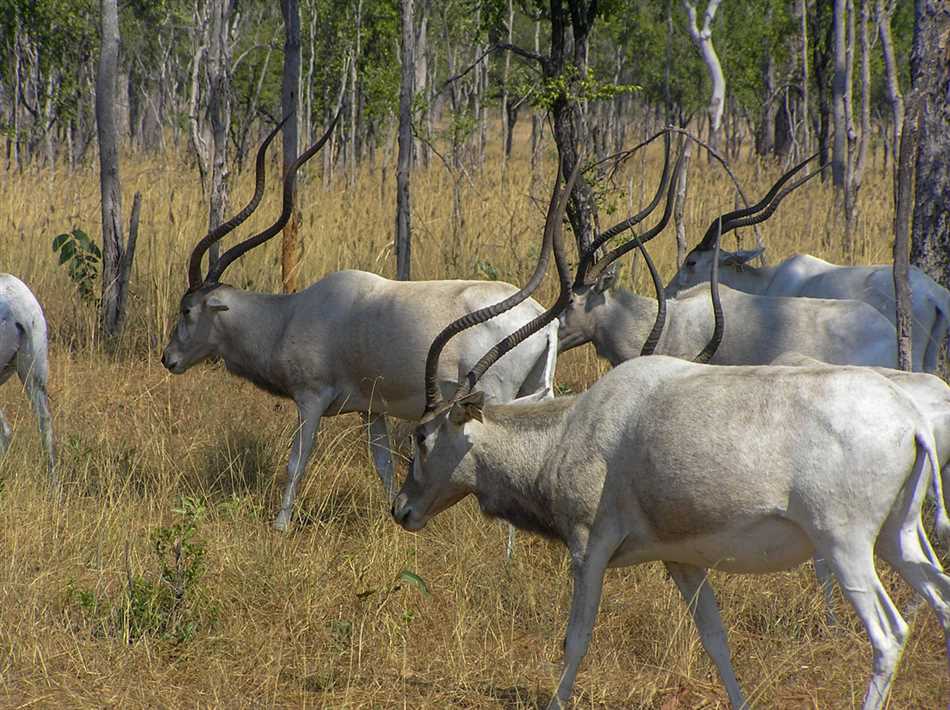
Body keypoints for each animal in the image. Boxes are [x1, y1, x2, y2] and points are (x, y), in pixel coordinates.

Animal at [160, 117, 556, 532]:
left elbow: (297, 461)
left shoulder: (310, 399)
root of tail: (541, 323)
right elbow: (383, 465)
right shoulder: (371, 411)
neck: (288, 317)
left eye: (186, 309)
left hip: (495, 399)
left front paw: (280, 525)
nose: (168, 358)